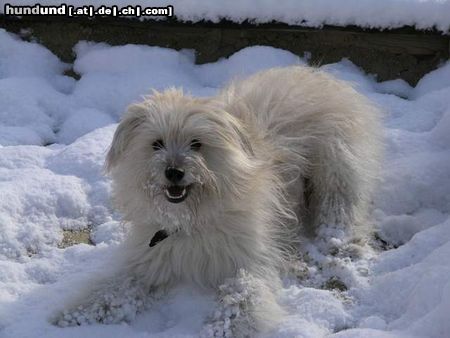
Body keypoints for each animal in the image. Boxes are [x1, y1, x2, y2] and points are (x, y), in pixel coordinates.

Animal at [53, 65, 384, 336]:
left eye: (196, 144)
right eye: (156, 144)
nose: (174, 171)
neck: (192, 219)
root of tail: (320, 75)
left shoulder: (250, 259)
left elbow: (242, 294)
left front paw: (223, 328)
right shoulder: (150, 257)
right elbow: (114, 288)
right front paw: (74, 313)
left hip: (335, 163)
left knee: (341, 204)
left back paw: (339, 241)